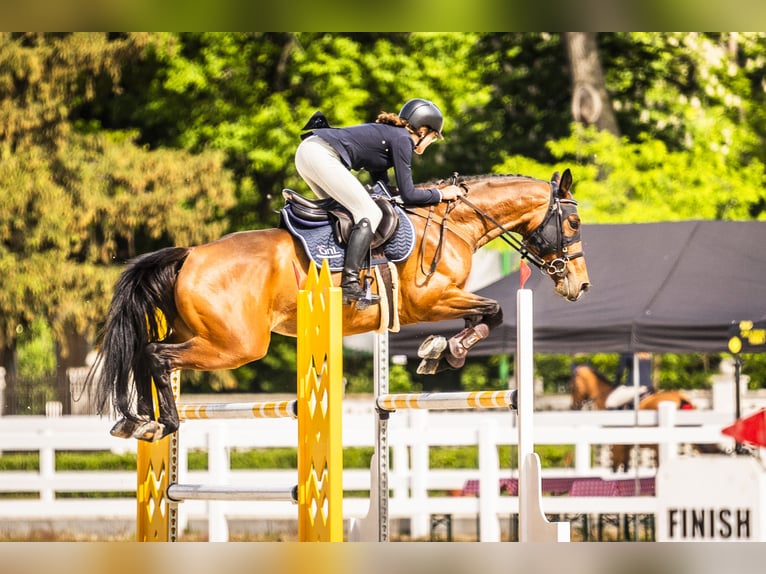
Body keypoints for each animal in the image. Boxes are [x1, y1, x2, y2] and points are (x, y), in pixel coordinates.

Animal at [91, 170, 592, 440]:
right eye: (573, 223)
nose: (580, 286)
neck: (453, 222)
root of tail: (190, 254)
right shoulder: (428, 300)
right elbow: (494, 311)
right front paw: (445, 351)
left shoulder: (439, 301)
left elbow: (482, 314)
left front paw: (437, 352)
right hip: (237, 345)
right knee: (156, 355)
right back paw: (162, 423)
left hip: (201, 332)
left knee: (143, 353)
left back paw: (136, 421)